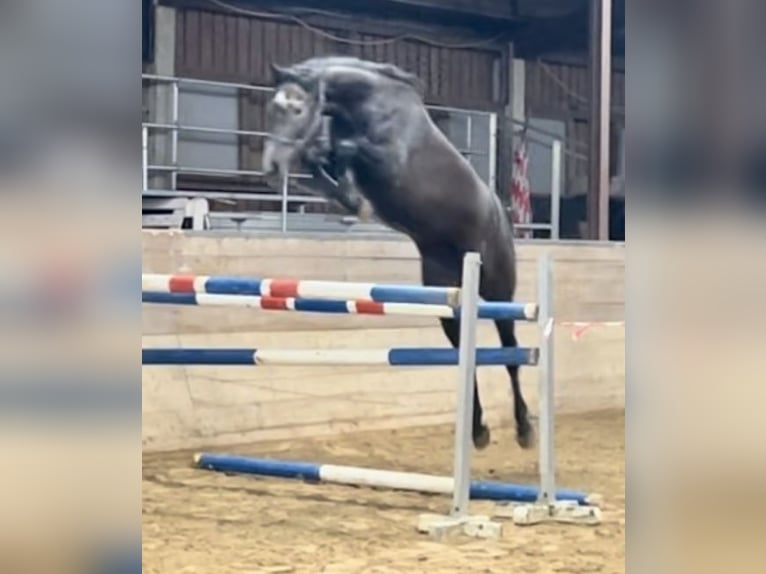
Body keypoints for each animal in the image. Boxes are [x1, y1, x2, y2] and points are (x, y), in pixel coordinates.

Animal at [264, 56, 536, 452]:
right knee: (467, 356)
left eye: (297, 109)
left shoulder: (386, 161)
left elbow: (342, 149)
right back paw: (477, 430)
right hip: (447, 300)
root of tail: (502, 215)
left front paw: (354, 199)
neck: (370, 105)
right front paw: (347, 196)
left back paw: (524, 428)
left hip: (499, 289)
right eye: (273, 108)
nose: (270, 168)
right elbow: (323, 158)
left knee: (511, 352)